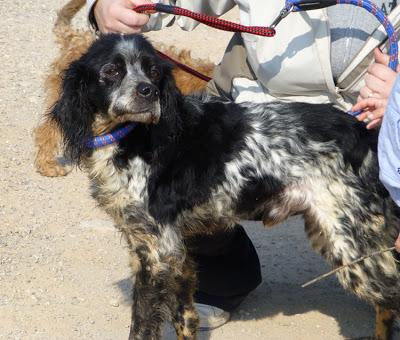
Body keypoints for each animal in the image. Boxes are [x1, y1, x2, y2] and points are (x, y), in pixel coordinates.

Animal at [48, 33, 400, 340]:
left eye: (153, 70)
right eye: (111, 70)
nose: (148, 92)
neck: (131, 137)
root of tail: (363, 132)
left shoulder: (155, 253)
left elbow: (142, 327)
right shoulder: (171, 252)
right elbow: (184, 319)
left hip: (353, 246)